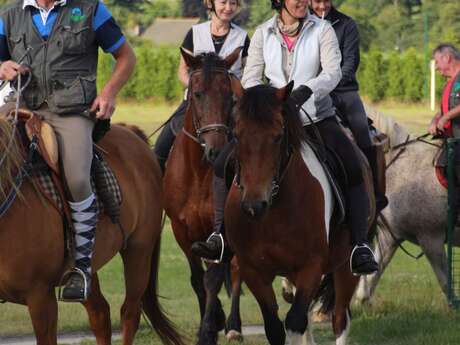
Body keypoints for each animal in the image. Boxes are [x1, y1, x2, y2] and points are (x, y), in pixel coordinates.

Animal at [164, 49, 244, 344]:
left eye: (230, 96)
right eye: (197, 93)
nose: (216, 151)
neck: (198, 173)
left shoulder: (219, 233)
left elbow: (214, 278)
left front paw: (210, 329)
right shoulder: (182, 231)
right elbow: (198, 279)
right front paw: (209, 321)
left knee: (237, 271)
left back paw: (234, 326)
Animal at [224, 81, 370, 344]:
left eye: (277, 136)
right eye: (236, 135)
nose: (254, 204)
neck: (273, 213)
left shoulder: (310, 266)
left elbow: (294, 322)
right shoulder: (254, 270)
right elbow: (274, 326)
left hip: (346, 267)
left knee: (340, 318)